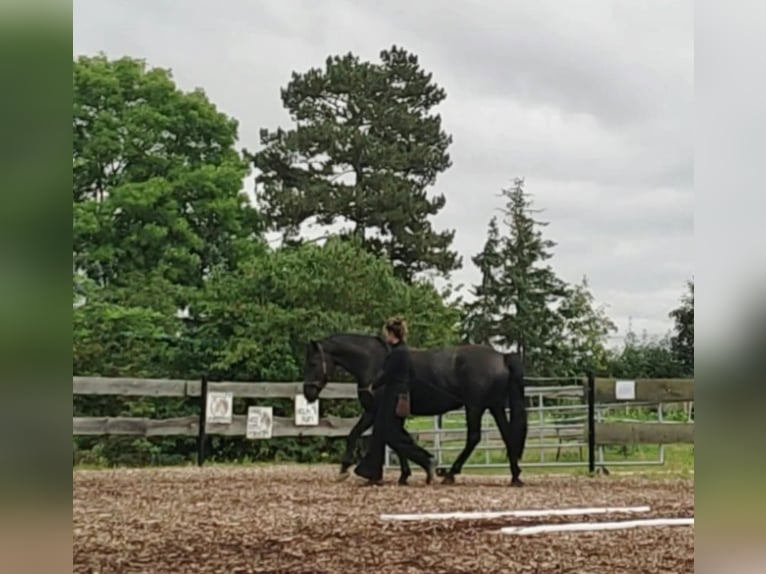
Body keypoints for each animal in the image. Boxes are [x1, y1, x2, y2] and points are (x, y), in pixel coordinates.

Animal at [304, 332, 532, 486]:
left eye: (313, 362)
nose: (308, 393)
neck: (374, 362)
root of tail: (501, 357)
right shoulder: (375, 413)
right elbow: (362, 435)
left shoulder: (378, 412)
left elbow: (391, 439)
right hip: (494, 407)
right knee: (507, 435)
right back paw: (515, 475)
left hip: (475, 407)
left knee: (473, 438)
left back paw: (450, 474)